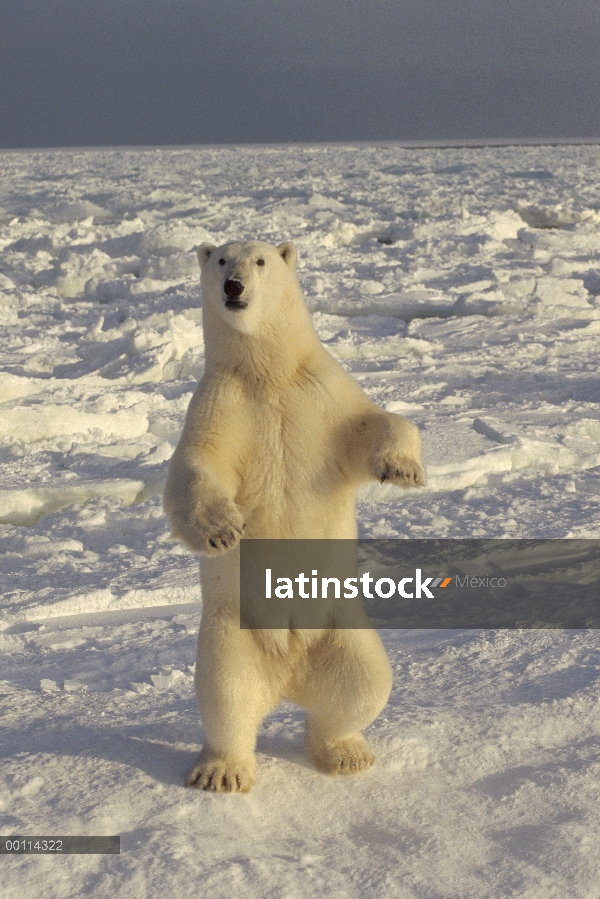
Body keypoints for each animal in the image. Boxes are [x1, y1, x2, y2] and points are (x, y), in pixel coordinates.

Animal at [164, 241, 424, 796]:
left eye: (260, 261)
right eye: (221, 261)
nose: (234, 287)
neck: (268, 375)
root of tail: (287, 678)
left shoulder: (321, 393)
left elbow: (372, 423)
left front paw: (402, 468)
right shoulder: (221, 404)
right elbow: (197, 465)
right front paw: (222, 530)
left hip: (340, 627)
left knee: (362, 682)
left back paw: (345, 752)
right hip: (232, 632)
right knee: (227, 695)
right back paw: (222, 771)